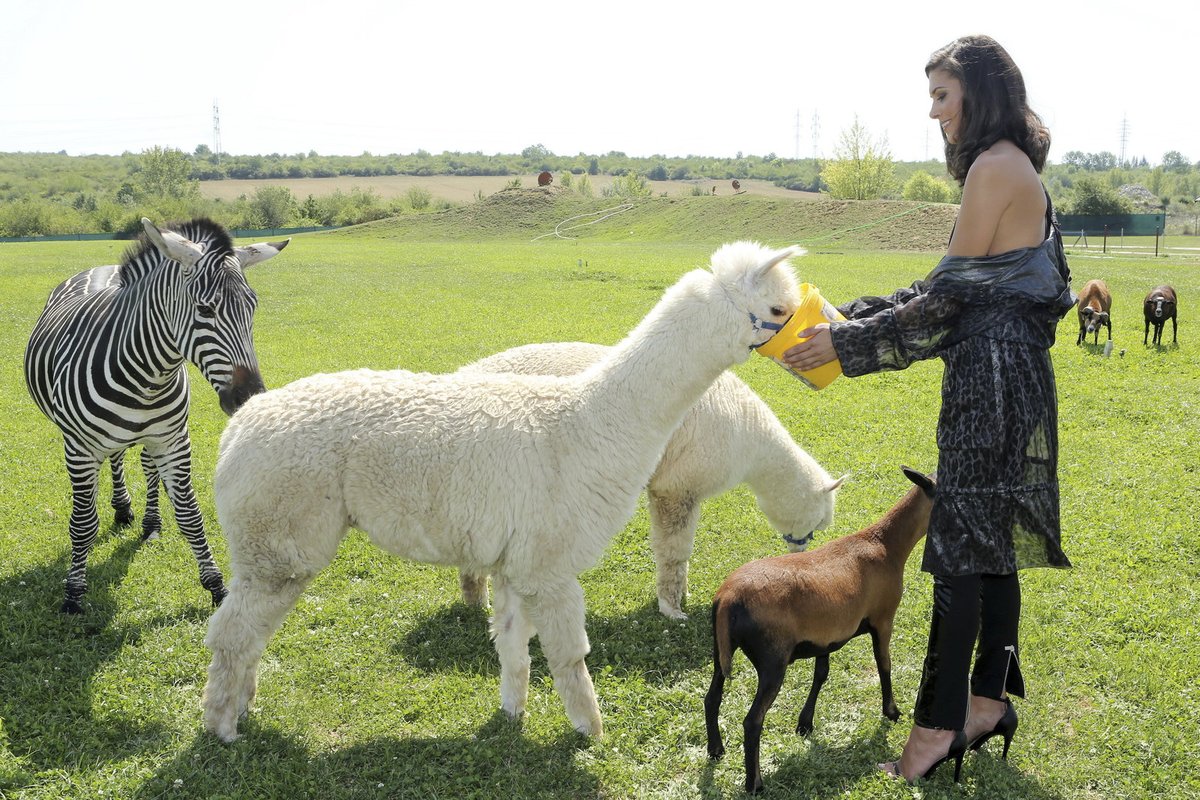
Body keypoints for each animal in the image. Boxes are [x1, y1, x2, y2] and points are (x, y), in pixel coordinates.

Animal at [24, 217, 290, 614]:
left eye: (252, 307)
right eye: (205, 310)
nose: (249, 397)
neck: (146, 374)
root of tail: (102, 269)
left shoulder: (174, 440)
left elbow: (191, 516)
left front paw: (216, 587)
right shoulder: (79, 449)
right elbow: (83, 523)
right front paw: (73, 594)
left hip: (152, 437)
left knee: (142, 466)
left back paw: (145, 521)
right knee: (115, 459)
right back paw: (121, 510)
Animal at [700, 465, 936, 791]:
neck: (886, 544)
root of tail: (727, 599)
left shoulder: (827, 637)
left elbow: (821, 674)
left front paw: (805, 723)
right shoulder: (883, 618)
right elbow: (884, 664)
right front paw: (891, 711)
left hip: (720, 649)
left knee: (712, 698)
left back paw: (716, 749)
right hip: (772, 660)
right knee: (752, 720)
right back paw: (755, 783)